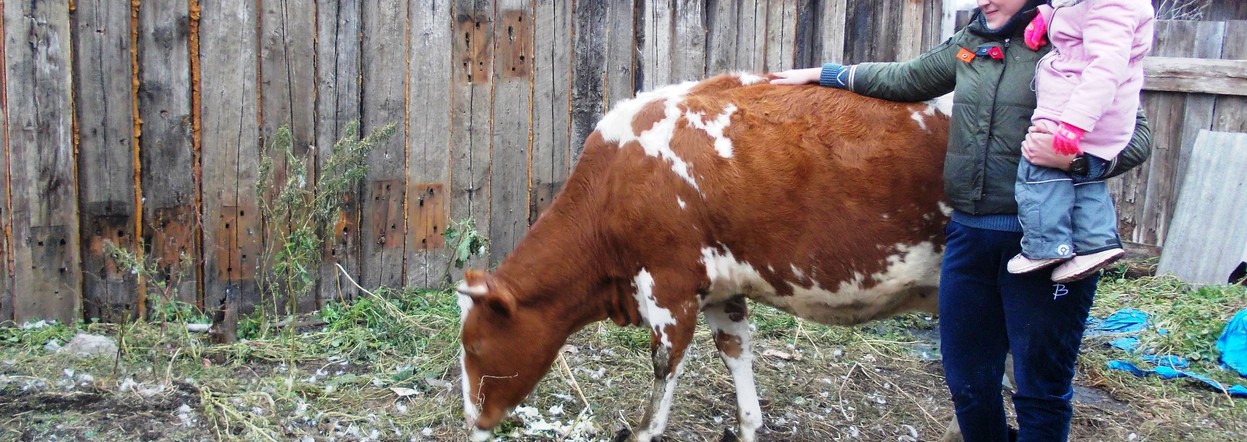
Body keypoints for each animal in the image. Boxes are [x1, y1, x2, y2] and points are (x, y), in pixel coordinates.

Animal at [458, 73, 952, 442]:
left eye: (474, 346)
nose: (472, 421)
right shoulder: (720, 287)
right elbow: (736, 351)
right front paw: (748, 425)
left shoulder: (668, 285)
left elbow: (664, 367)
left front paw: (645, 430)